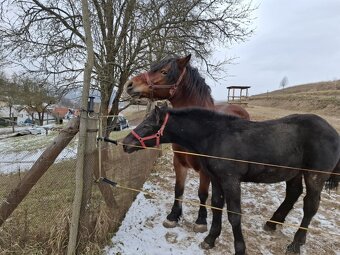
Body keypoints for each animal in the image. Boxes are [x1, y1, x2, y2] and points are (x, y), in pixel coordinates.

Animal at [123, 106, 340, 255]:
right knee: (293, 194)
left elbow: (234, 214)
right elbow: (216, 206)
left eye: (148, 125)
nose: (125, 144)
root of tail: (333, 132)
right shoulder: (216, 179)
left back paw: (296, 244)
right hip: (294, 173)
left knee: (310, 206)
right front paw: (210, 239)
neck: (216, 136)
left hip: (315, 176)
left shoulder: (230, 180)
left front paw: (240, 249)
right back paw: (272, 223)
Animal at [125, 54, 250, 232]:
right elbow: (178, 189)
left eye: (164, 72)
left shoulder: (204, 170)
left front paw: (201, 220)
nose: (130, 85)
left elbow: (202, 193)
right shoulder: (179, 162)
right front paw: (173, 216)